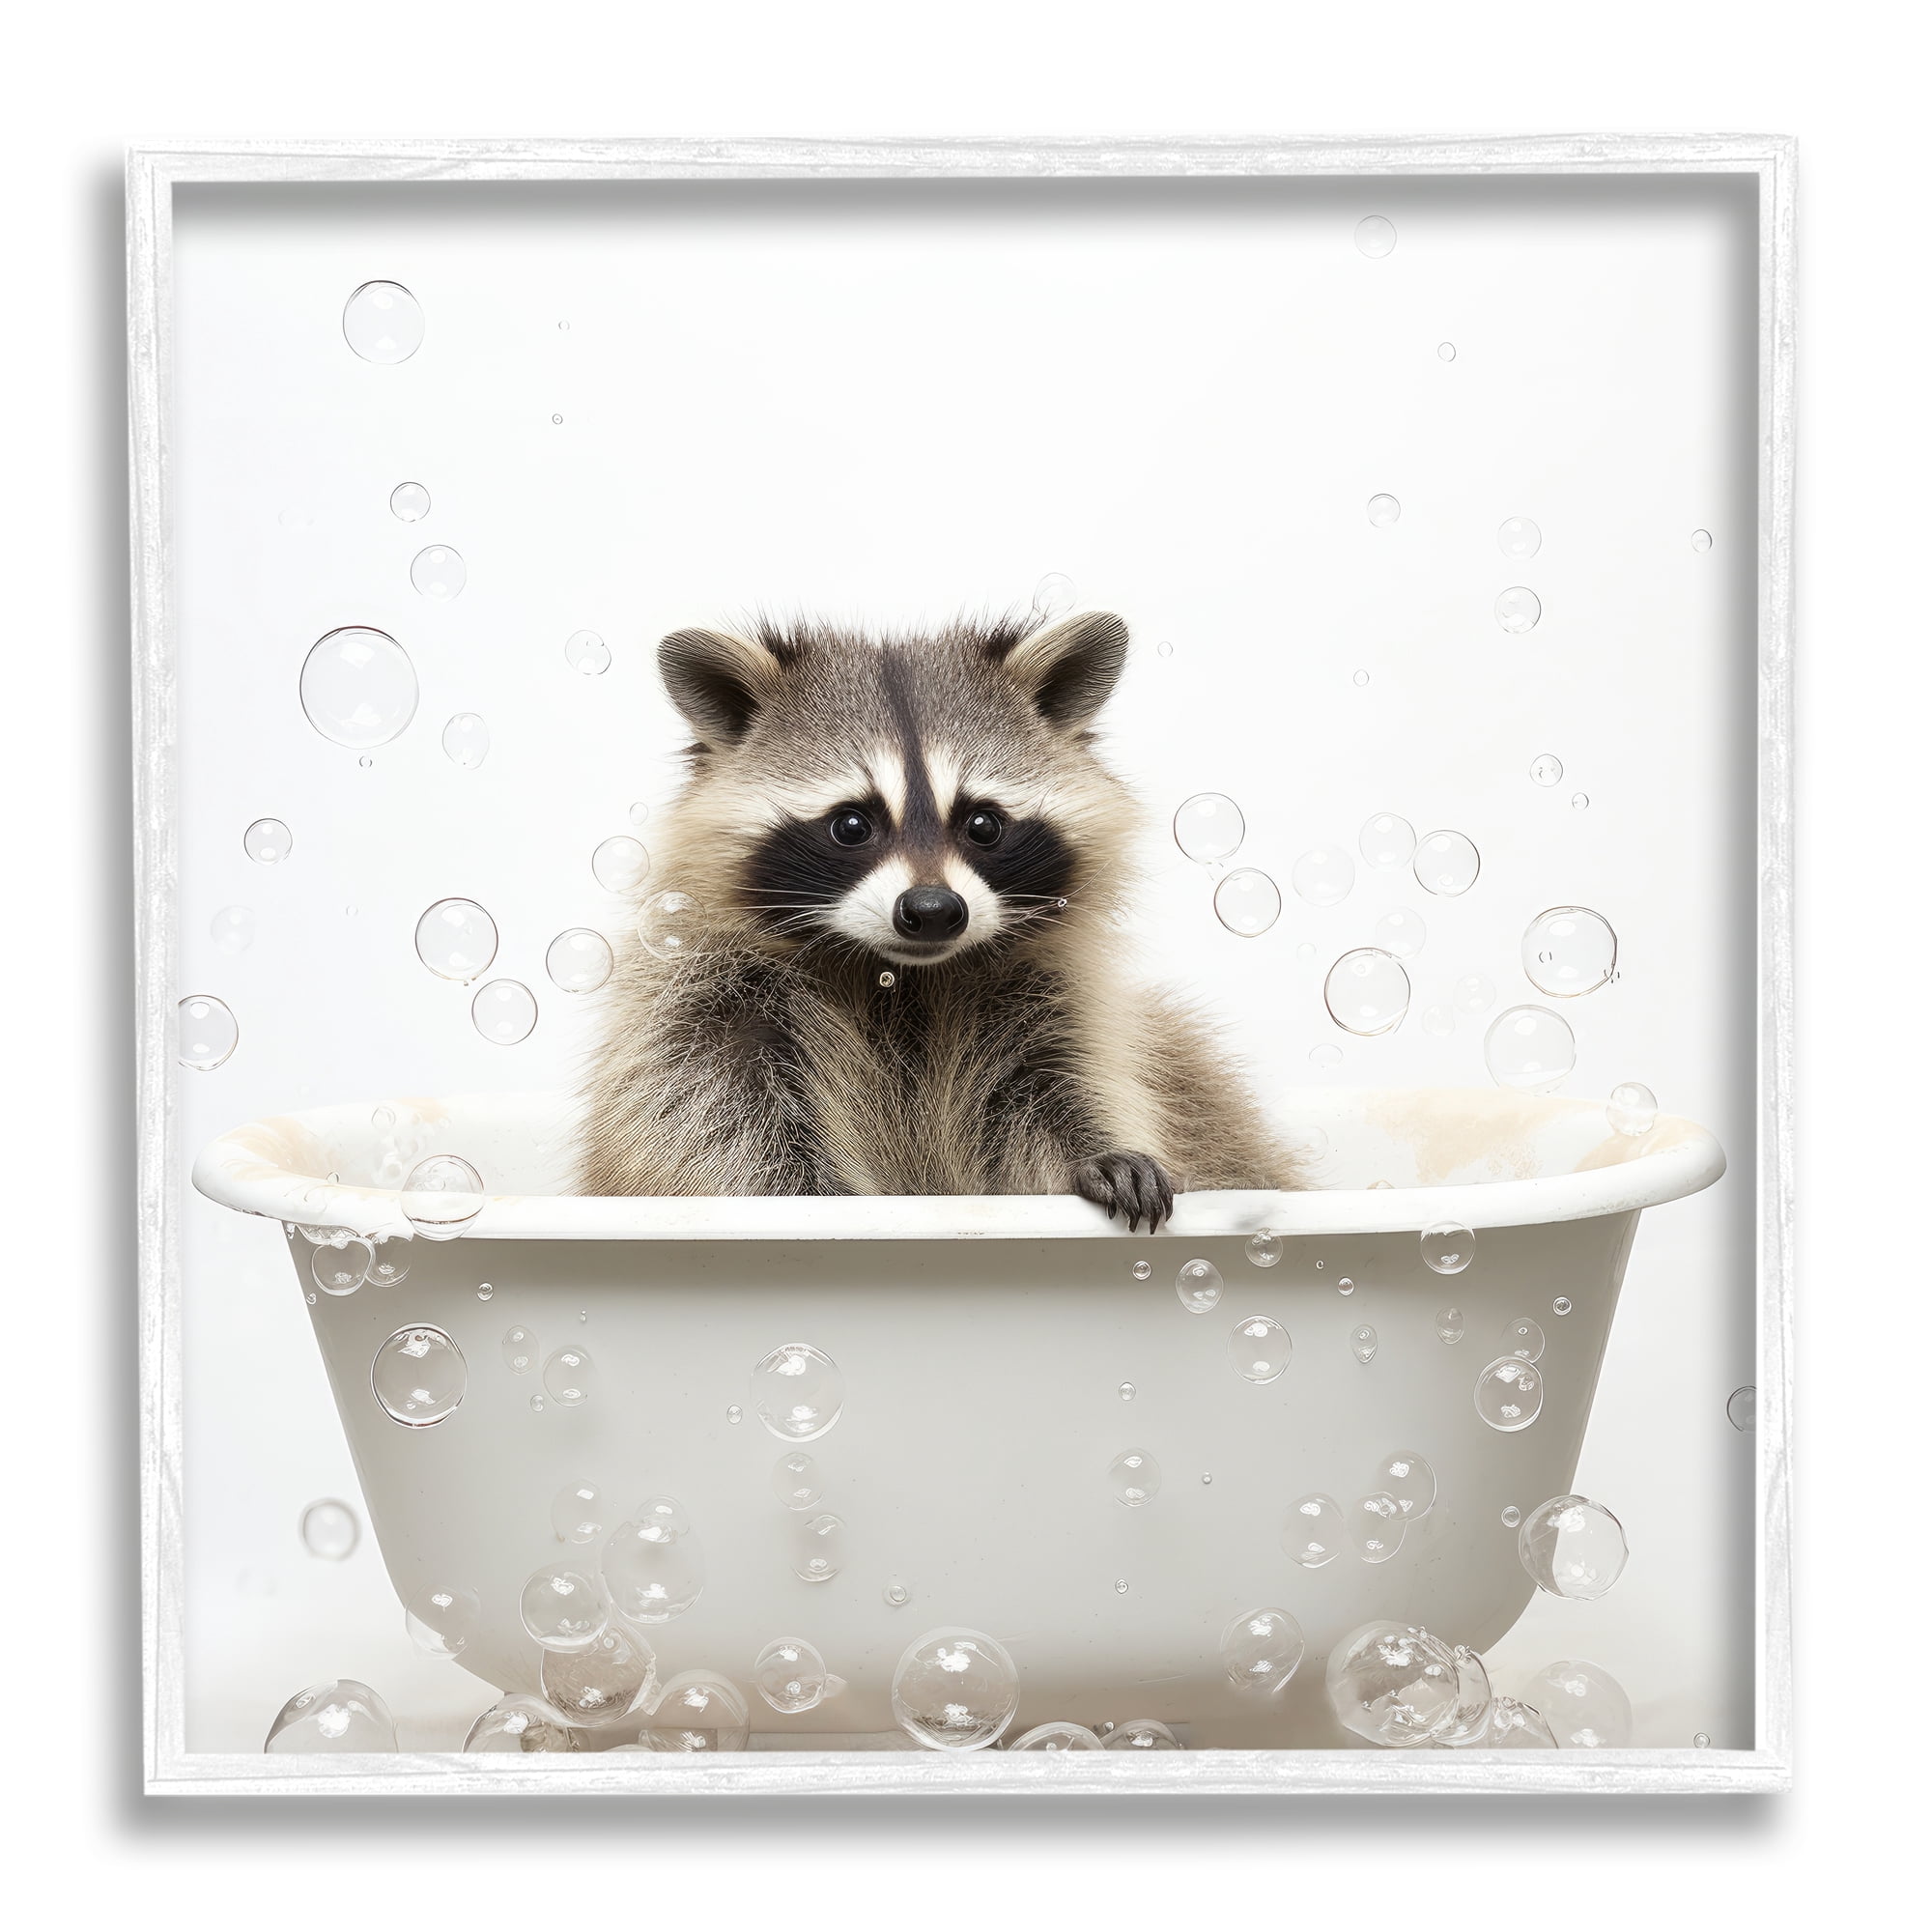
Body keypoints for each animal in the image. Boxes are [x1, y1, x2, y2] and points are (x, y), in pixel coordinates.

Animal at [577, 609, 1299, 1228]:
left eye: (983, 824)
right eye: (851, 825)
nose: (932, 912)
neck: (901, 974)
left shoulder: (1050, 991)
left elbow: (1059, 1084)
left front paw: (1097, 1146)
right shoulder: (706, 996)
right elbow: (706, 1116)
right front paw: (806, 1196)